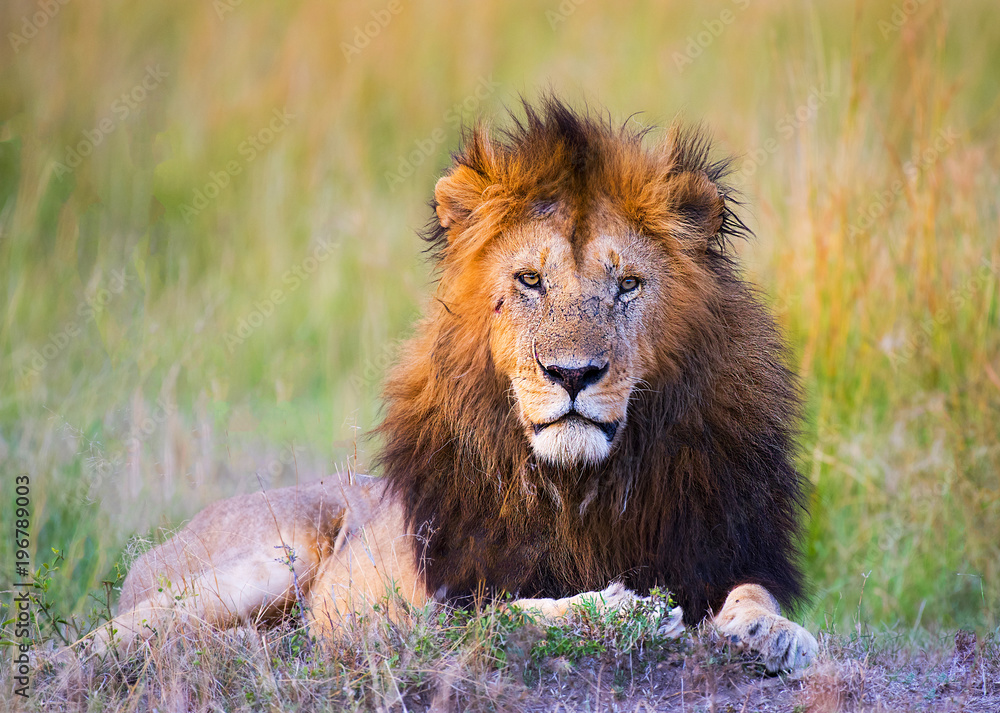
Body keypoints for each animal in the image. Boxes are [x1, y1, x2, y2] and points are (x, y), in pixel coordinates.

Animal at [90, 97, 816, 672]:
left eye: (628, 285)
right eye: (530, 280)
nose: (572, 374)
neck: (581, 488)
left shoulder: (723, 551)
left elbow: (755, 593)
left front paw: (776, 634)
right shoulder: (437, 609)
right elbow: (513, 610)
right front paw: (621, 609)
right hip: (272, 556)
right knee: (95, 643)